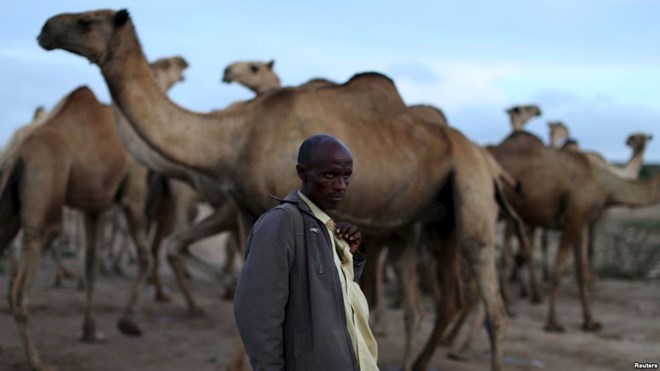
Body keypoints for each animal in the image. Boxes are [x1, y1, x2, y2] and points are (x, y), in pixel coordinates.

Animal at [37, 8, 510, 371]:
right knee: (447, 298)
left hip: (470, 192)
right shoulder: (248, 210)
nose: (45, 29)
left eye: (85, 21)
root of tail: (486, 159)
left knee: (491, 305)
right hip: (435, 221)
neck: (234, 136)